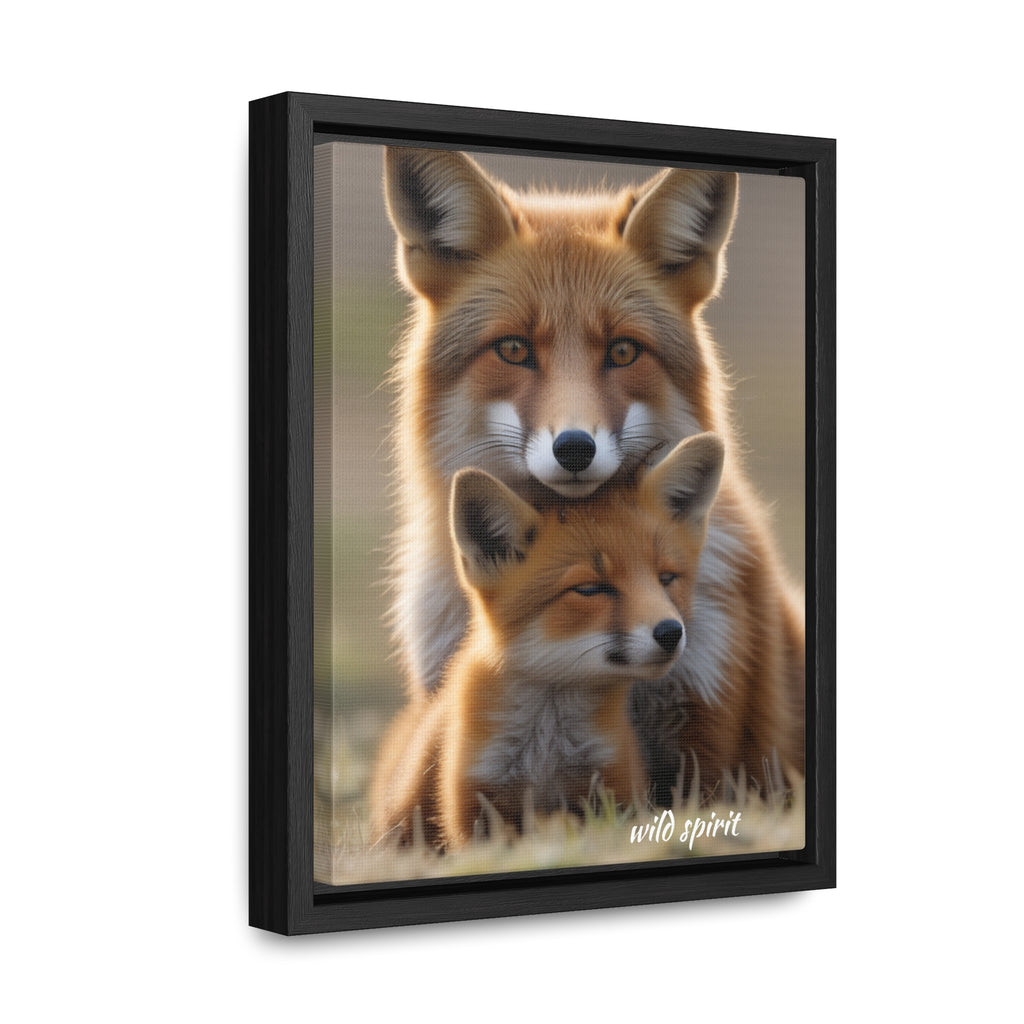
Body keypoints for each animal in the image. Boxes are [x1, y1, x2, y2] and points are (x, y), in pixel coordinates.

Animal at [371, 434, 725, 849]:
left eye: (666, 578)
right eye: (589, 589)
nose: (671, 632)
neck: (546, 750)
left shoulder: (613, 787)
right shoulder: (475, 807)